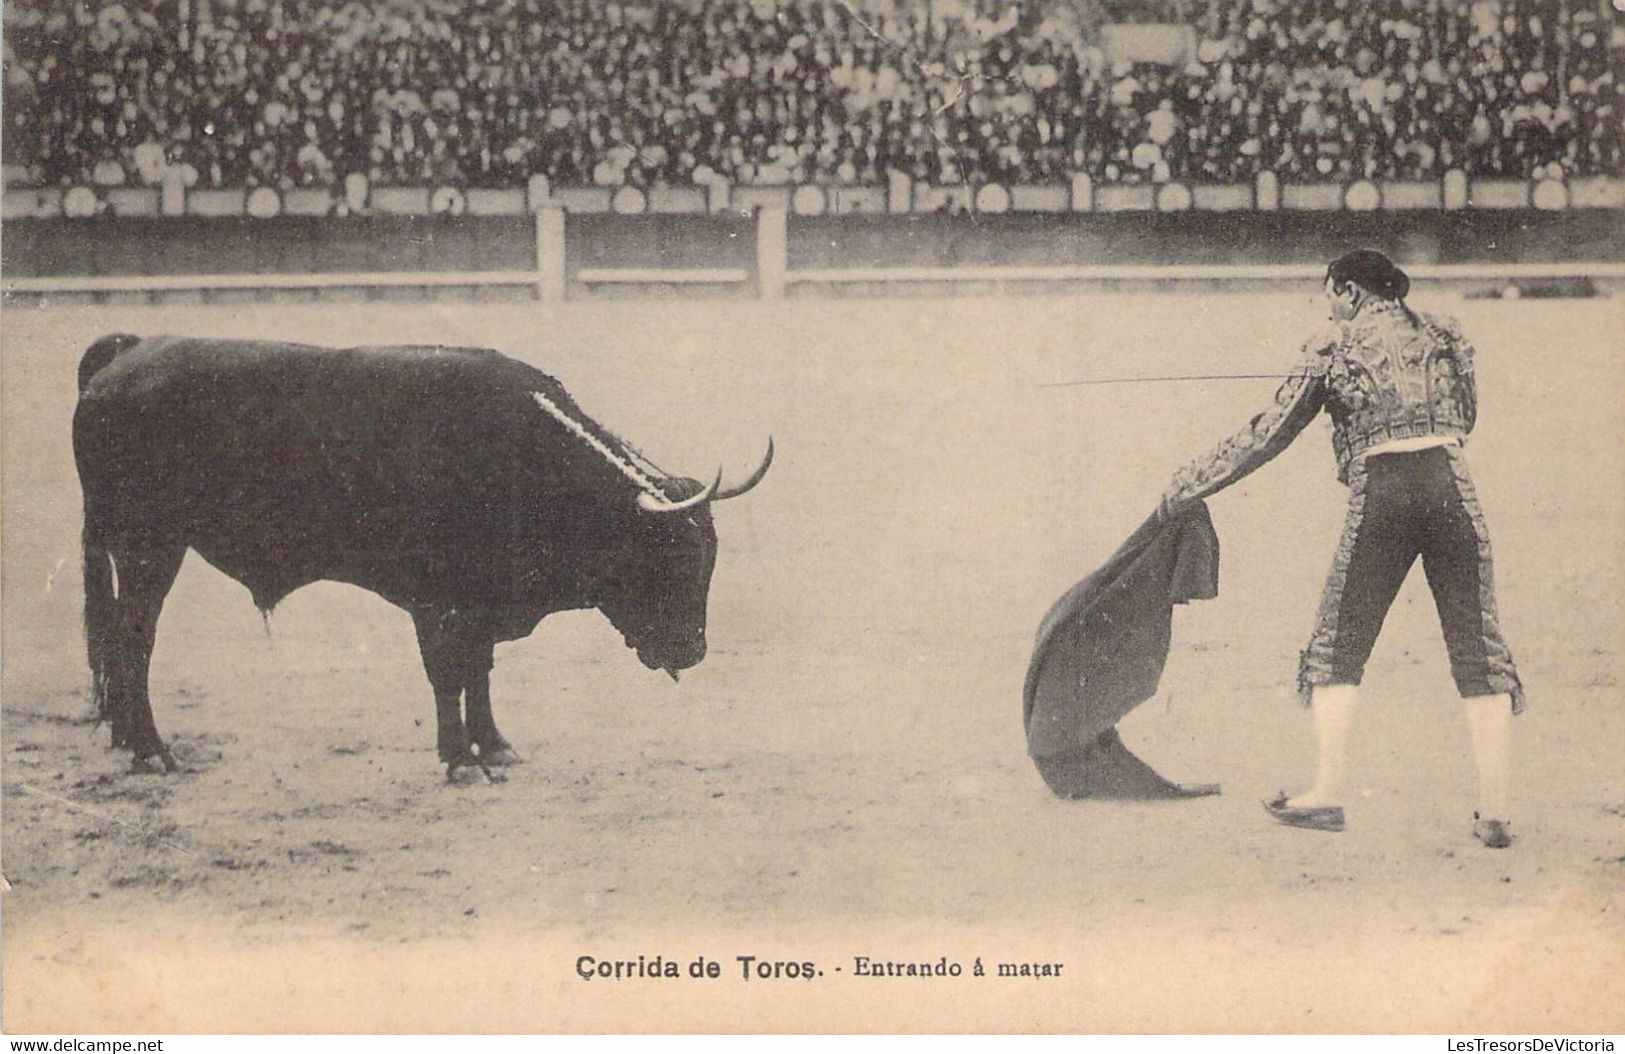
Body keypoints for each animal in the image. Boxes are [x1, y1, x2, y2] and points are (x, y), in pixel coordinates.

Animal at [69, 332, 767, 776]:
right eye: (666, 561)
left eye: (708, 562)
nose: (693, 652)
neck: (516, 454)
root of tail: (127, 355)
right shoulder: (437, 601)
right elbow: (447, 672)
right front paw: (459, 760)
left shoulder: (480, 604)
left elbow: (480, 671)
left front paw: (494, 746)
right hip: (147, 547)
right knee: (133, 640)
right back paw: (152, 751)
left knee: (118, 642)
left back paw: (130, 741)